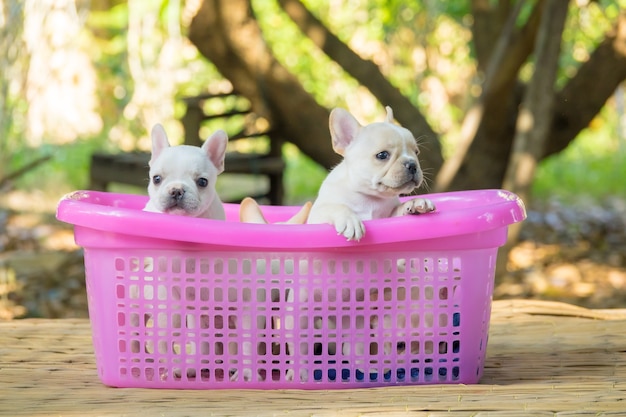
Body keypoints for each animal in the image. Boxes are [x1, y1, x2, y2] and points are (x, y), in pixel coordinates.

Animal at [308, 105, 434, 239]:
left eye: (416, 152)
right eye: (382, 155)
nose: (412, 165)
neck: (369, 198)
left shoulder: (388, 216)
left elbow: (398, 209)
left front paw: (414, 202)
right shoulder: (315, 216)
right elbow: (334, 207)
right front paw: (350, 220)